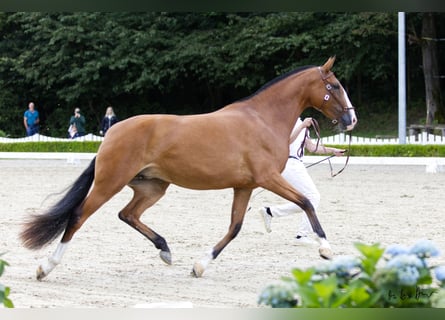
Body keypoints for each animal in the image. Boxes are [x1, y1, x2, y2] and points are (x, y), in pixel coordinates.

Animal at [20, 57, 358, 280]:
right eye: (335, 85)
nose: (351, 120)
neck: (262, 119)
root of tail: (112, 132)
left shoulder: (245, 186)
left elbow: (235, 227)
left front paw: (199, 265)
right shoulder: (268, 178)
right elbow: (306, 202)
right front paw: (326, 249)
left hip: (152, 187)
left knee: (127, 214)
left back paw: (165, 250)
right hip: (109, 183)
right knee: (78, 216)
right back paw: (45, 267)